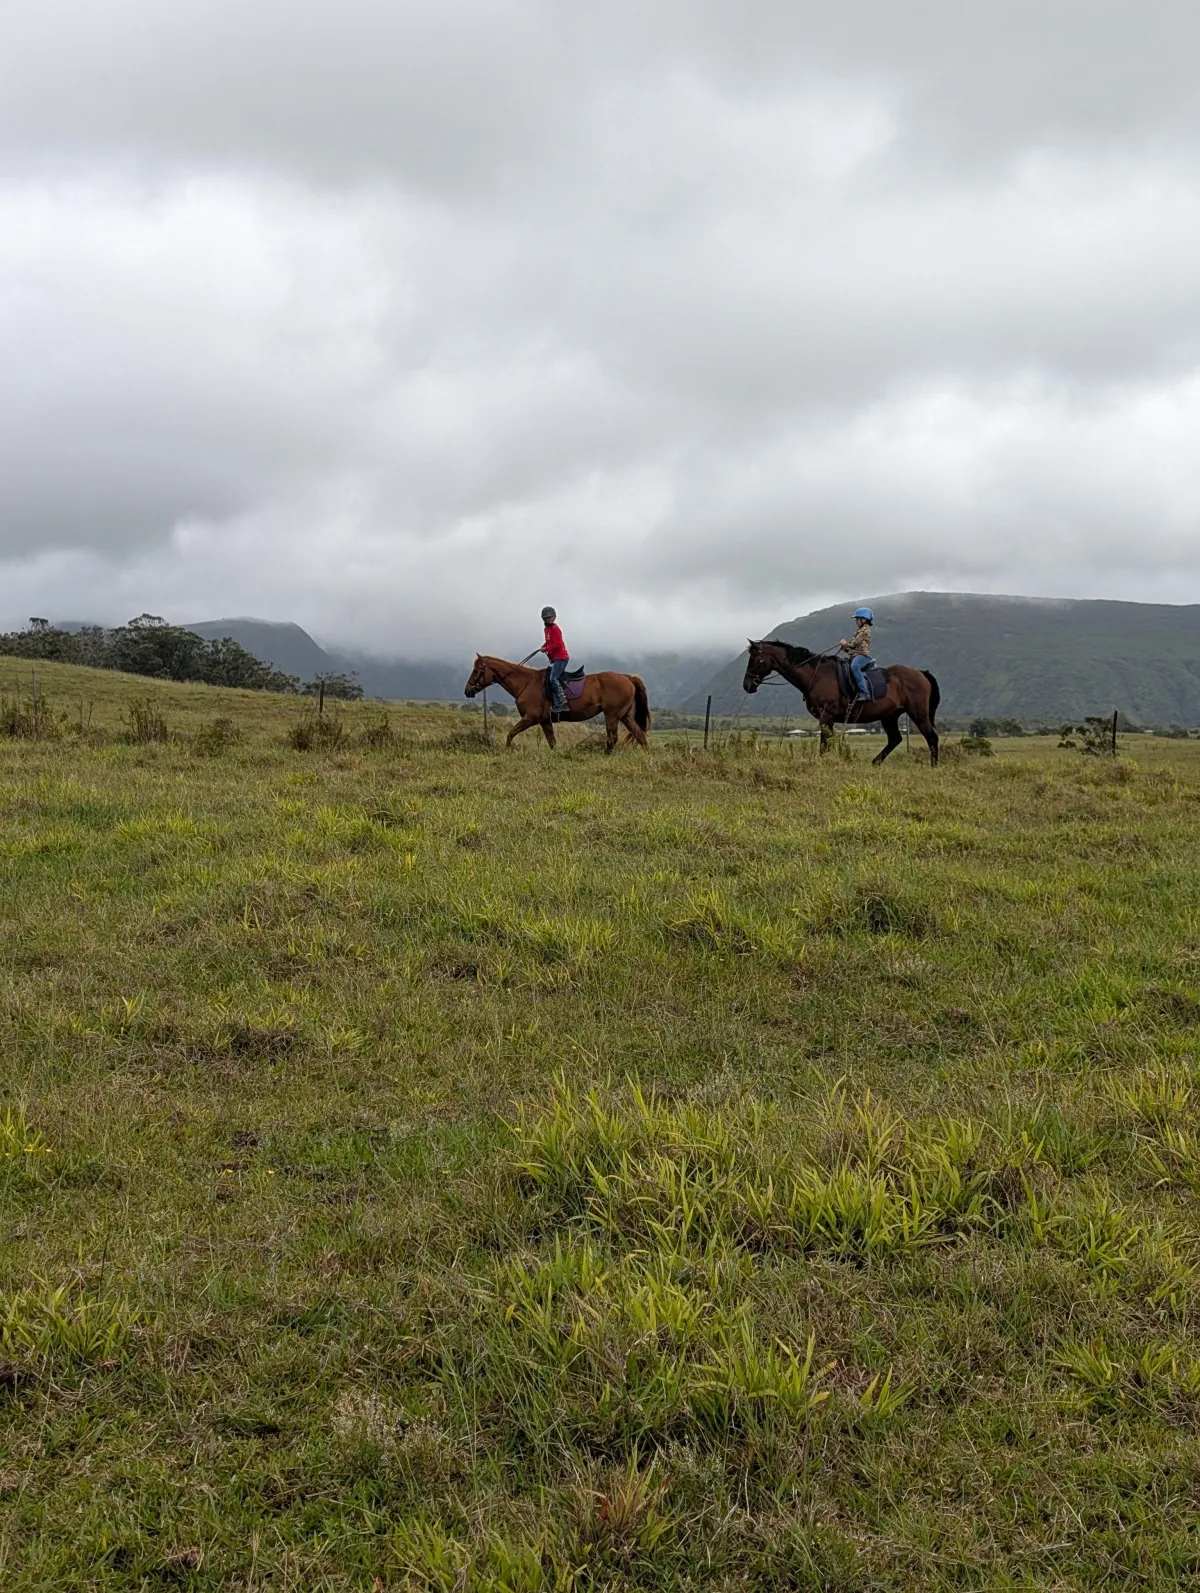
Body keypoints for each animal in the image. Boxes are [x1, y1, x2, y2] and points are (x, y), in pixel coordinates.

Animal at [464, 655, 651, 752]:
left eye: (476, 670)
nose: (467, 691)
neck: (526, 683)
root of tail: (628, 677)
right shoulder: (545, 721)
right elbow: (552, 742)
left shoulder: (530, 718)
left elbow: (510, 733)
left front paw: (508, 751)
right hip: (625, 716)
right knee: (640, 735)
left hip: (612, 715)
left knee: (613, 738)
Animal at [742, 639, 941, 766]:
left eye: (756, 659)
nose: (747, 685)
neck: (817, 675)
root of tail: (920, 673)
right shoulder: (827, 719)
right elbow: (827, 741)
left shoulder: (825, 716)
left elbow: (824, 743)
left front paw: (823, 762)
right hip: (890, 716)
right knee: (895, 739)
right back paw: (875, 762)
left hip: (918, 713)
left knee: (931, 737)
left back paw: (933, 765)